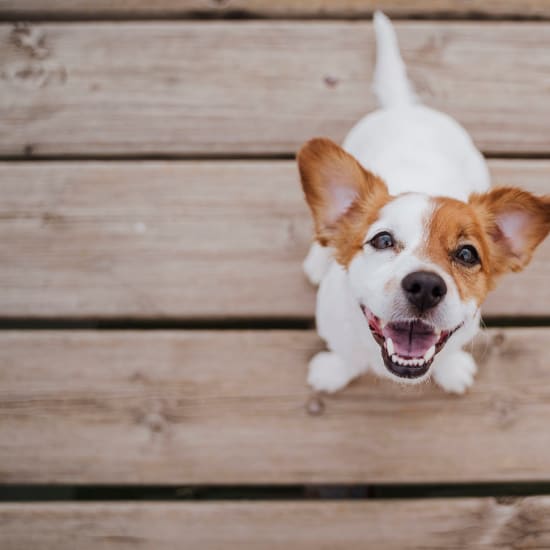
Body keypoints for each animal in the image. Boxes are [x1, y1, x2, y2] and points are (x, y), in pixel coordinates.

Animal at [298, 10, 550, 394]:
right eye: (382, 240)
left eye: (467, 254)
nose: (426, 287)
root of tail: (405, 107)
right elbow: (346, 355)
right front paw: (332, 372)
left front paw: (452, 371)